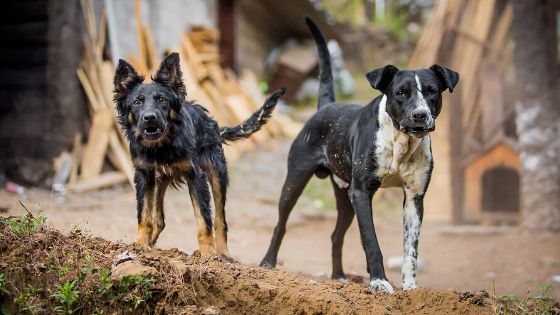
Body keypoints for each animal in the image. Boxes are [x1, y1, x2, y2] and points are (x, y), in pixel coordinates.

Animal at [113, 51, 284, 258]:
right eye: (137, 102)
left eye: (162, 100)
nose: (150, 117)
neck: (161, 147)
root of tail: (212, 123)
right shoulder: (144, 176)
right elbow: (144, 215)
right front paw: (139, 245)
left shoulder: (197, 177)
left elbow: (205, 221)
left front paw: (208, 255)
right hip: (160, 181)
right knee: (159, 219)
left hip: (218, 175)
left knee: (220, 220)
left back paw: (223, 254)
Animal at [260, 17, 458, 294]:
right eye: (400, 92)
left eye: (432, 91)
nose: (420, 115)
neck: (400, 142)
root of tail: (325, 106)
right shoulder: (362, 192)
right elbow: (372, 241)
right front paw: (379, 282)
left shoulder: (414, 198)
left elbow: (411, 250)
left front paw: (410, 289)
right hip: (295, 181)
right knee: (281, 224)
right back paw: (267, 263)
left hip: (345, 196)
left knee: (335, 235)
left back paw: (338, 276)